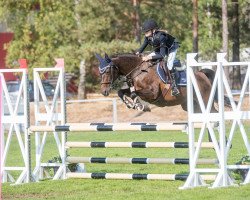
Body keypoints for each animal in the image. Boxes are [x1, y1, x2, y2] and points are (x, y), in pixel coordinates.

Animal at [95, 52, 229, 113]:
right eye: (100, 72)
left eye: (107, 71)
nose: (104, 91)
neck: (138, 70)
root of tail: (202, 75)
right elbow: (121, 92)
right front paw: (130, 104)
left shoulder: (153, 93)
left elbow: (134, 93)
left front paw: (140, 106)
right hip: (190, 105)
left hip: (205, 102)